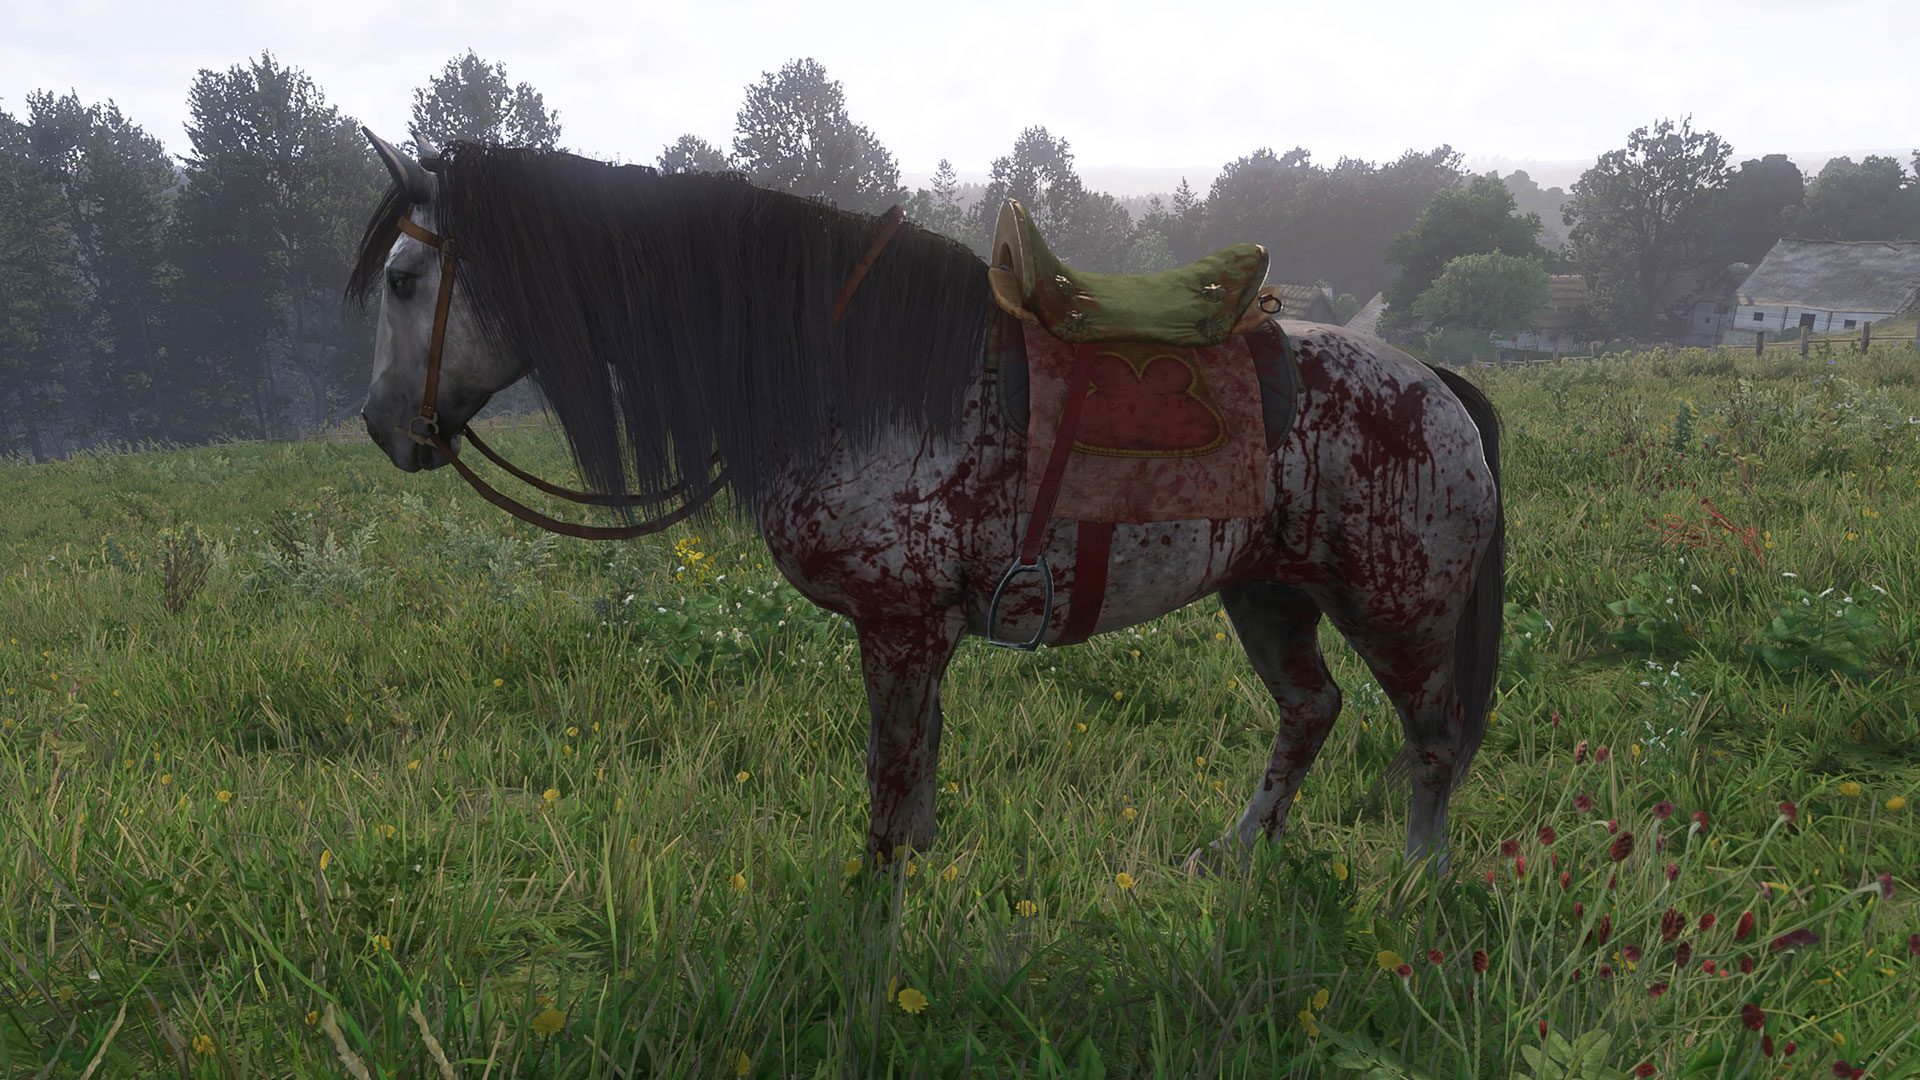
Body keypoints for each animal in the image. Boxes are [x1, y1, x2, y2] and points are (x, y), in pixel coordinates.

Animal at [348, 131, 1505, 873]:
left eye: (405, 278)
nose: (381, 427)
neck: (854, 373)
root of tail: (1439, 385)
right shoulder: (918, 633)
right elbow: (917, 789)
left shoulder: (898, 629)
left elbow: (888, 792)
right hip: (1267, 595)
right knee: (1310, 713)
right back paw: (1235, 857)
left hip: (1398, 611)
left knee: (1433, 741)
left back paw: (1415, 887)